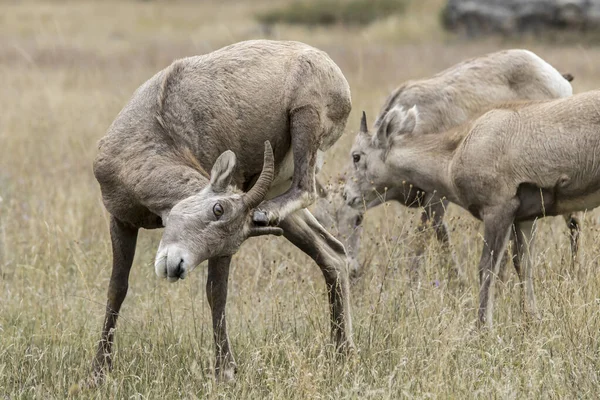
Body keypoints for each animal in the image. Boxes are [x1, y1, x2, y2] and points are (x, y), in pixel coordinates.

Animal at [91, 39, 354, 382]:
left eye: (234, 239)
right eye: (217, 208)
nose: (176, 267)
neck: (159, 126)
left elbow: (216, 294)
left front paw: (224, 371)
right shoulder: (121, 221)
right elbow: (117, 290)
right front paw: (98, 373)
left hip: (304, 118)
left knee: (307, 190)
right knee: (333, 254)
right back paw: (343, 353)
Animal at [322, 50, 580, 280]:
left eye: (358, 219)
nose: (349, 269)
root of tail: (557, 77)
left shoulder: (437, 198)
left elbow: (426, 236)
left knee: (573, 222)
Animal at [344, 91, 600, 328]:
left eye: (356, 156)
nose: (347, 196)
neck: (454, 155)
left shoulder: (498, 211)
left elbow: (486, 268)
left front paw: (483, 328)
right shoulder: (525, 219)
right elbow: (523, 265)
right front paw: (532, 319)